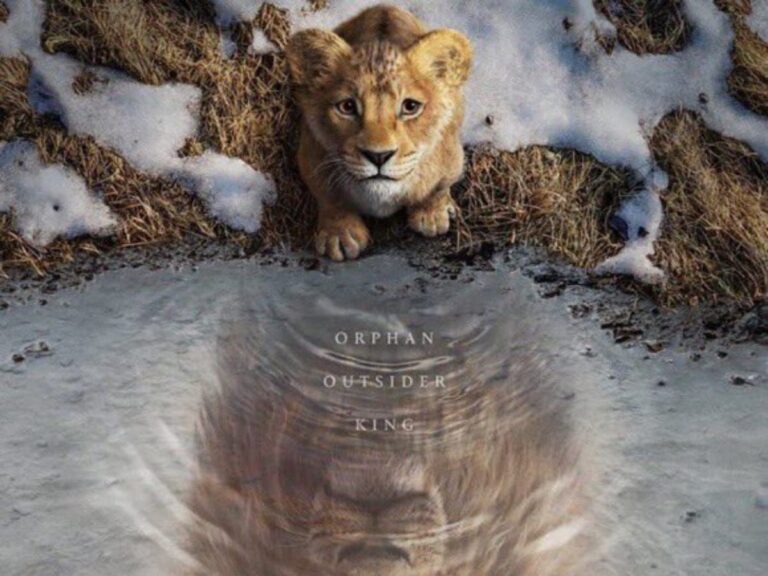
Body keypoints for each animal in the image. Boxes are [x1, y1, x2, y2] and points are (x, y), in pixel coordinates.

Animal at [285, 5, 473, 261]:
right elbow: (329, 197)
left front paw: (432, 215)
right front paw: (340, 234)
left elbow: (437, 187)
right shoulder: (311, 155)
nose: (378, 156)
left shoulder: (452, 156)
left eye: (410, 106)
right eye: (347, 107)